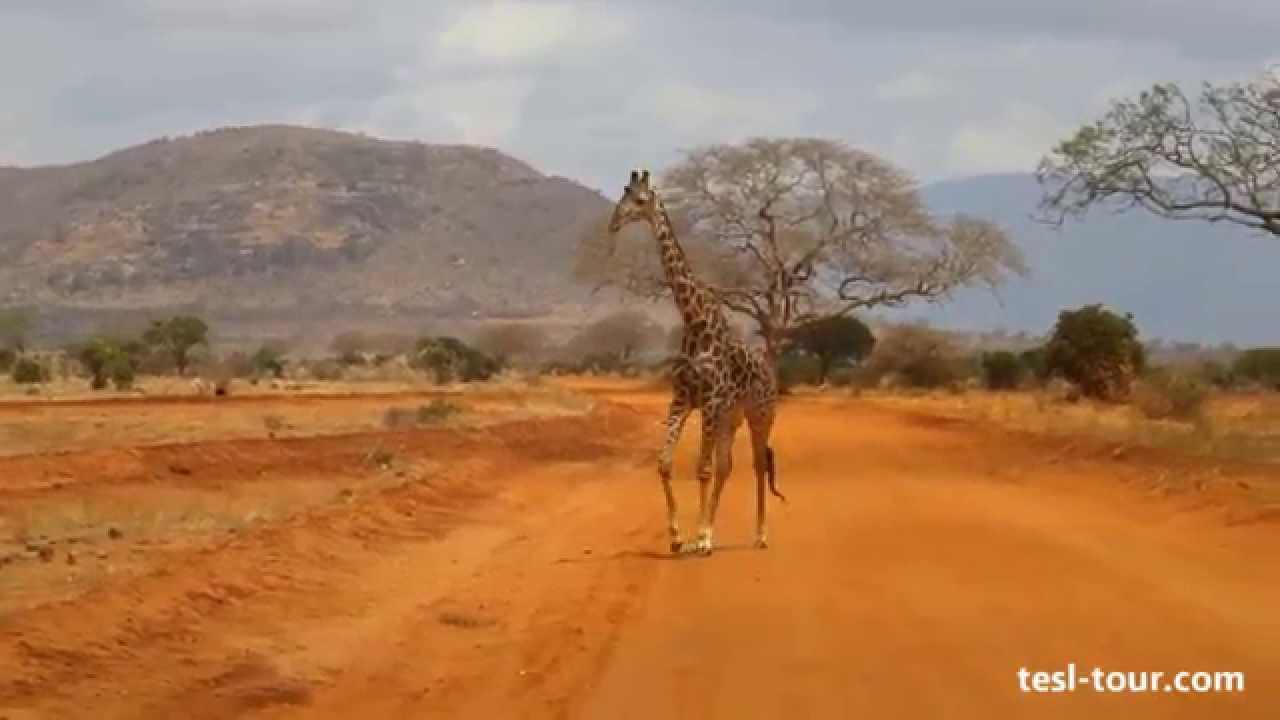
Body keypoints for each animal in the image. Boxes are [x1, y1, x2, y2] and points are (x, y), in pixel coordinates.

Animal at [607, 169, 785, 556]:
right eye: (624, 192)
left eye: (640, 200)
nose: (614, 223)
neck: (694, 321)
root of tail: (769, 371)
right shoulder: (683, 399)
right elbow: (665, 464)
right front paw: (679, 536)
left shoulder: (711, 401)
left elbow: (701, 469)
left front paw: (700, 537)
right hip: (731, 418)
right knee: (727, 466)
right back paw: (713, 532)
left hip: (760, 415)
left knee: (758, 465)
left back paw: (760, 535)